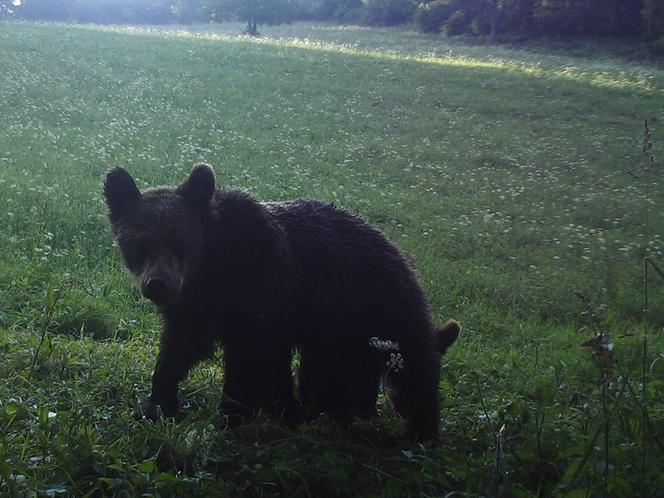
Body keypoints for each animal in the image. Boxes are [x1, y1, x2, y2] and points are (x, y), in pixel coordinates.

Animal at [104, 164, 460, 440]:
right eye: (140, 244)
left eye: (180, 242)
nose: (158, 285)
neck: (212, 269)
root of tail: (397, 250)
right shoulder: (193, 307)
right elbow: (179, 349)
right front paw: (155, 404)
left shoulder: (261, 291)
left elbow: (247, 359)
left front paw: (232, 414)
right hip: (337, 330)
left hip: (382, 305)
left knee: (414, 364)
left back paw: (420, 427)